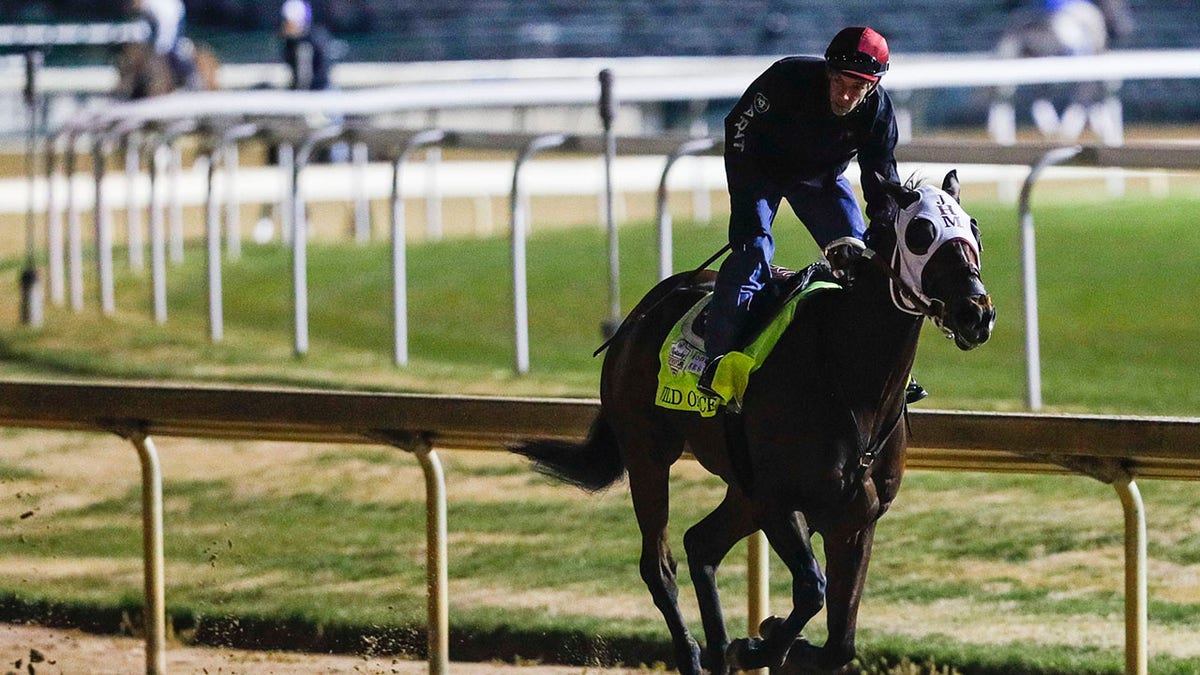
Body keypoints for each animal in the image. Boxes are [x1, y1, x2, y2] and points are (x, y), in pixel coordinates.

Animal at [513, 170, 993, 667]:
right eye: (921, 233)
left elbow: (840, 643)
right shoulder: (778, 500)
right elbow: (811, 589)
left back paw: (719, 646)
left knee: (700, 543)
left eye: (974, 230)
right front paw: (760, 642)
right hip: (648, 454)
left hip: (740, 487)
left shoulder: (857, 517)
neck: (847, 373)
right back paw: (694, 654)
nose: (976, 313)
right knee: (659, 564)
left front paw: (768, 640)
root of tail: (643, 311)